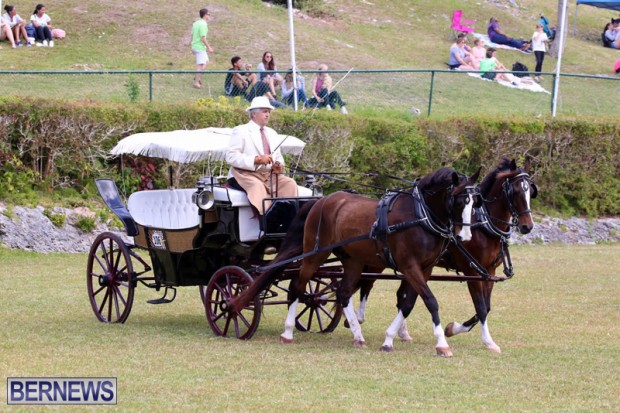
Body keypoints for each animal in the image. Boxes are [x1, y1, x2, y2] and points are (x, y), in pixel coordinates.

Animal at [230, 166, 481, 356]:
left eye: (475, 203)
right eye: (459, 201)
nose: (466, 236)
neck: (420, 216)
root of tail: (320, 202)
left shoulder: (425, 269)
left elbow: (409, 304)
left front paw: (388, 340)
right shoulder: (410, 267)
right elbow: (430, 301)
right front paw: (442, 344)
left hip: (353, 261)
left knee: (343, 292)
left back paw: (358, 336)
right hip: (314, 254)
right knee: (297, 287)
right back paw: (287, 332)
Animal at [355, 157, 537, 354]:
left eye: (530, 190)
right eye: (515, 191)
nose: (527, 226)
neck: (482, 222)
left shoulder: (489, 271)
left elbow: (486, 306)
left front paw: (453, 329)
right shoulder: (472, 271)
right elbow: (481, 307)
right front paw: (480, 338)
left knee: (400, 296)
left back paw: (402, 332)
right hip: (377, 261)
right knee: (367, 284)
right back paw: (358, 319)